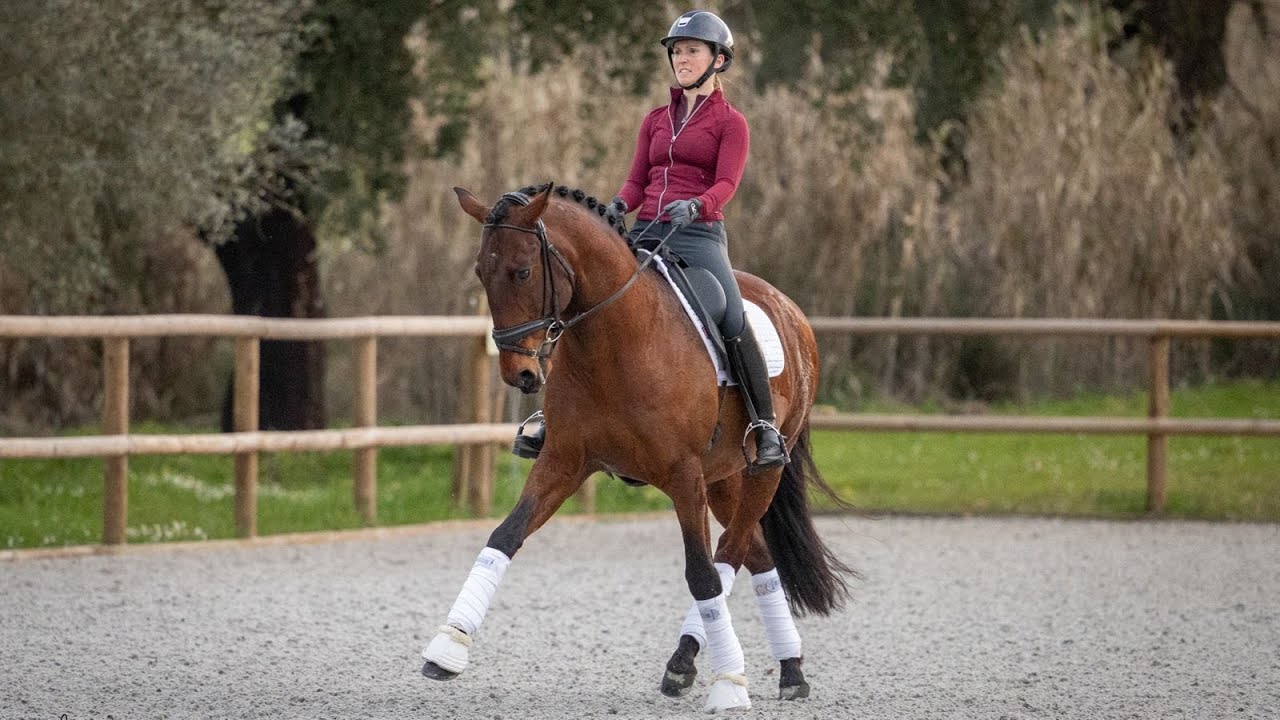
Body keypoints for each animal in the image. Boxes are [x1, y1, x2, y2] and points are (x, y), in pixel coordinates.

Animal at [421, 183, 855, 712]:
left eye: (522, 271)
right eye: (481, 272)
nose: (518, 373)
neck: (614, 340)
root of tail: (791, 311)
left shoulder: (683, 476)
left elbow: (702, 574)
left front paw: (730, 686)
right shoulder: (564, 461)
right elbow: (504, 536)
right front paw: (447, 649)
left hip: (761, 470)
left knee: (730, 552)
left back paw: (739, 667)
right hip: (723, 478)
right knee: (754, 552)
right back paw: (761, 666)